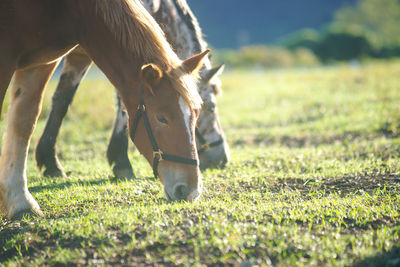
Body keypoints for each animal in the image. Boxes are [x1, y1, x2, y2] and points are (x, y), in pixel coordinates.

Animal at [0, 0, 208, 221]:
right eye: (162, 118)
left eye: (196, 115)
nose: (191, 190)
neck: (71, 11)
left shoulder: (43, 63)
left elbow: (24, 122)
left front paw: (20, 201)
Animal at [34, 0, 230, 181]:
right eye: (210, 107)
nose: (223, 158)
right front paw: (121, 161)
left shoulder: (80, 53)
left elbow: (62, 100)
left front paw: (50, 162)